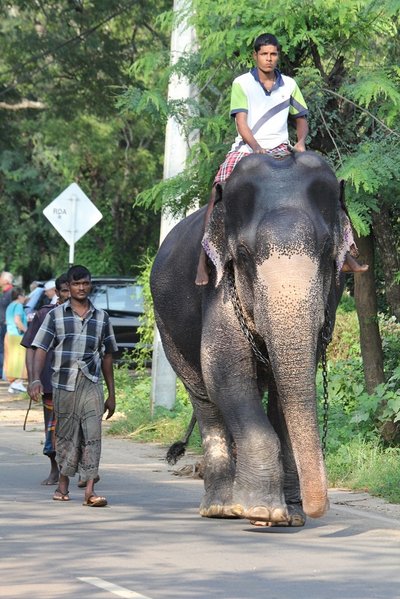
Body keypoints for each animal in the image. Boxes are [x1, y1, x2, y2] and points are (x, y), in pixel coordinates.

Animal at [150, 152, 344, 528]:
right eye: (242, 255)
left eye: (328, 251)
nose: (317, 508)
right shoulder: (218, 288)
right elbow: (226, 374)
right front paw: (263, 512)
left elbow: (288, 389)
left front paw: (289, 516)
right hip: (166, 327)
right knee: (205, 398)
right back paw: (221, 508)